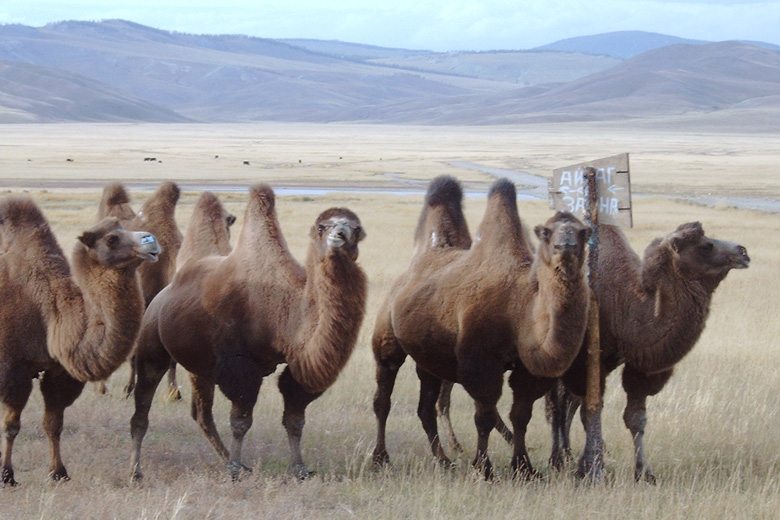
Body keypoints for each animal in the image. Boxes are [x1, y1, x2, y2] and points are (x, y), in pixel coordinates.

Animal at [0, 195, 159, 484]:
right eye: (111, 238)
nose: (150, 240)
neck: (51, 314)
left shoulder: (60, 372)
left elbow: (53, 424)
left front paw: (59, 472)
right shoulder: (12, 366)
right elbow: (11, 425)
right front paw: (7, 475)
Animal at [129, 184, 368, 480]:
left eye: (356, 228)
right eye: (322, 226)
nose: (339, 235)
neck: (285, 310)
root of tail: (164, 294)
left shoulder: (297, 365)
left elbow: (295, 419)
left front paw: (299, 468)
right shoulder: (239, 363)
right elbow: (241, 421)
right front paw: (235, 468)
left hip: (200, 366)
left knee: (201, 413)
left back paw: (226, 458)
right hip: (152, 345)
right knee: (142, 408)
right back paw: (136, 471)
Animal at [374, 179, 592, 480]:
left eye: (583, 232)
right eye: (547, 232)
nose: (566, 244)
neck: (520, 307)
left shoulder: (528, 370)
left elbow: (521, 414)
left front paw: (524, 467)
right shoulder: (480, 361)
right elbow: (485, 416)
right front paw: (484, 468)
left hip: (429, 357)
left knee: (426, 408)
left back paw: (444, 460)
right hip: (387, 337)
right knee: (383, 396)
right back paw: (381, 458)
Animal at [544, 221, 752, 482]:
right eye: (706, 245)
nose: (743, 252)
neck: (624, 302)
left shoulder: (635, 365)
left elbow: (635, 418)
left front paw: (644, 472)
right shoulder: (592, 360)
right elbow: (590, 411)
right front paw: (591, 468)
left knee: (566, 403)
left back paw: (567, 455)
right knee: (556, 404)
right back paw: (556, 459)